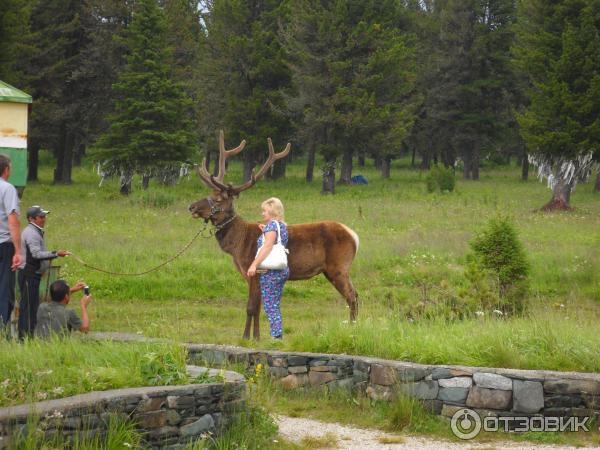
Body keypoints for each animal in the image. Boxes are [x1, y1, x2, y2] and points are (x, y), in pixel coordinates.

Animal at [188, 132, 358, 340]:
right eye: (209, 193)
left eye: (218, 199)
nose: (192, 207)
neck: (238, 245)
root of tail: (354, 235)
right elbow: (259, 307)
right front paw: (257, 336)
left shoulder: (254, 270)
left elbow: (251, 307)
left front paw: (246, 337)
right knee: (355, 295)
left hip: (339, 267)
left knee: (352, 296)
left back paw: (352, 329)